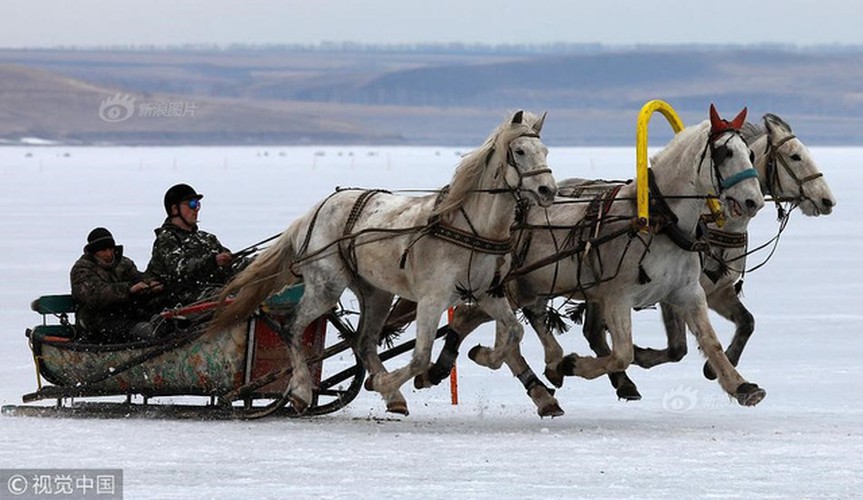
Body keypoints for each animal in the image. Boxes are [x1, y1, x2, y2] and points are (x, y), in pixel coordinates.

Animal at [212, 111, 556, 416]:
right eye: (520, 151)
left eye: (545, 151)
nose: (547, 190)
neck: (470, 228)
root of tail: (311, 215)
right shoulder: (432, 299)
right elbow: (420, 358)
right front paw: (389, 381)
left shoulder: (488, 292)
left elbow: (514, 331)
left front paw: (485, 356)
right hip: (326, 286)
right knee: (293, 327)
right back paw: (301, 391)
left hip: (376, 292)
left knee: (363, 342)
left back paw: (393, 397)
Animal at [416, 104, 768, 414]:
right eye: (724, 153)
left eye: (750, 154)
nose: (754, 201)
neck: (659, 219)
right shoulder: (618, 297)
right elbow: (622, 353)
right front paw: (575, 365)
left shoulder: (688, 292)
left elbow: (711, 342)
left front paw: (741, 386)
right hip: (512, 287)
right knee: (482, 321)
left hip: (520, 288)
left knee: (480, 320)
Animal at [580, 112, 836, 398]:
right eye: (795, 156)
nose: (827, 200)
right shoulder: (674, 294)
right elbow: (677, 348)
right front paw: (640, 354)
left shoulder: (717, 291)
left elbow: (747, 322)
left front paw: (718, 369)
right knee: (594, 331)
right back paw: (623, 381)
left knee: (593, 331)